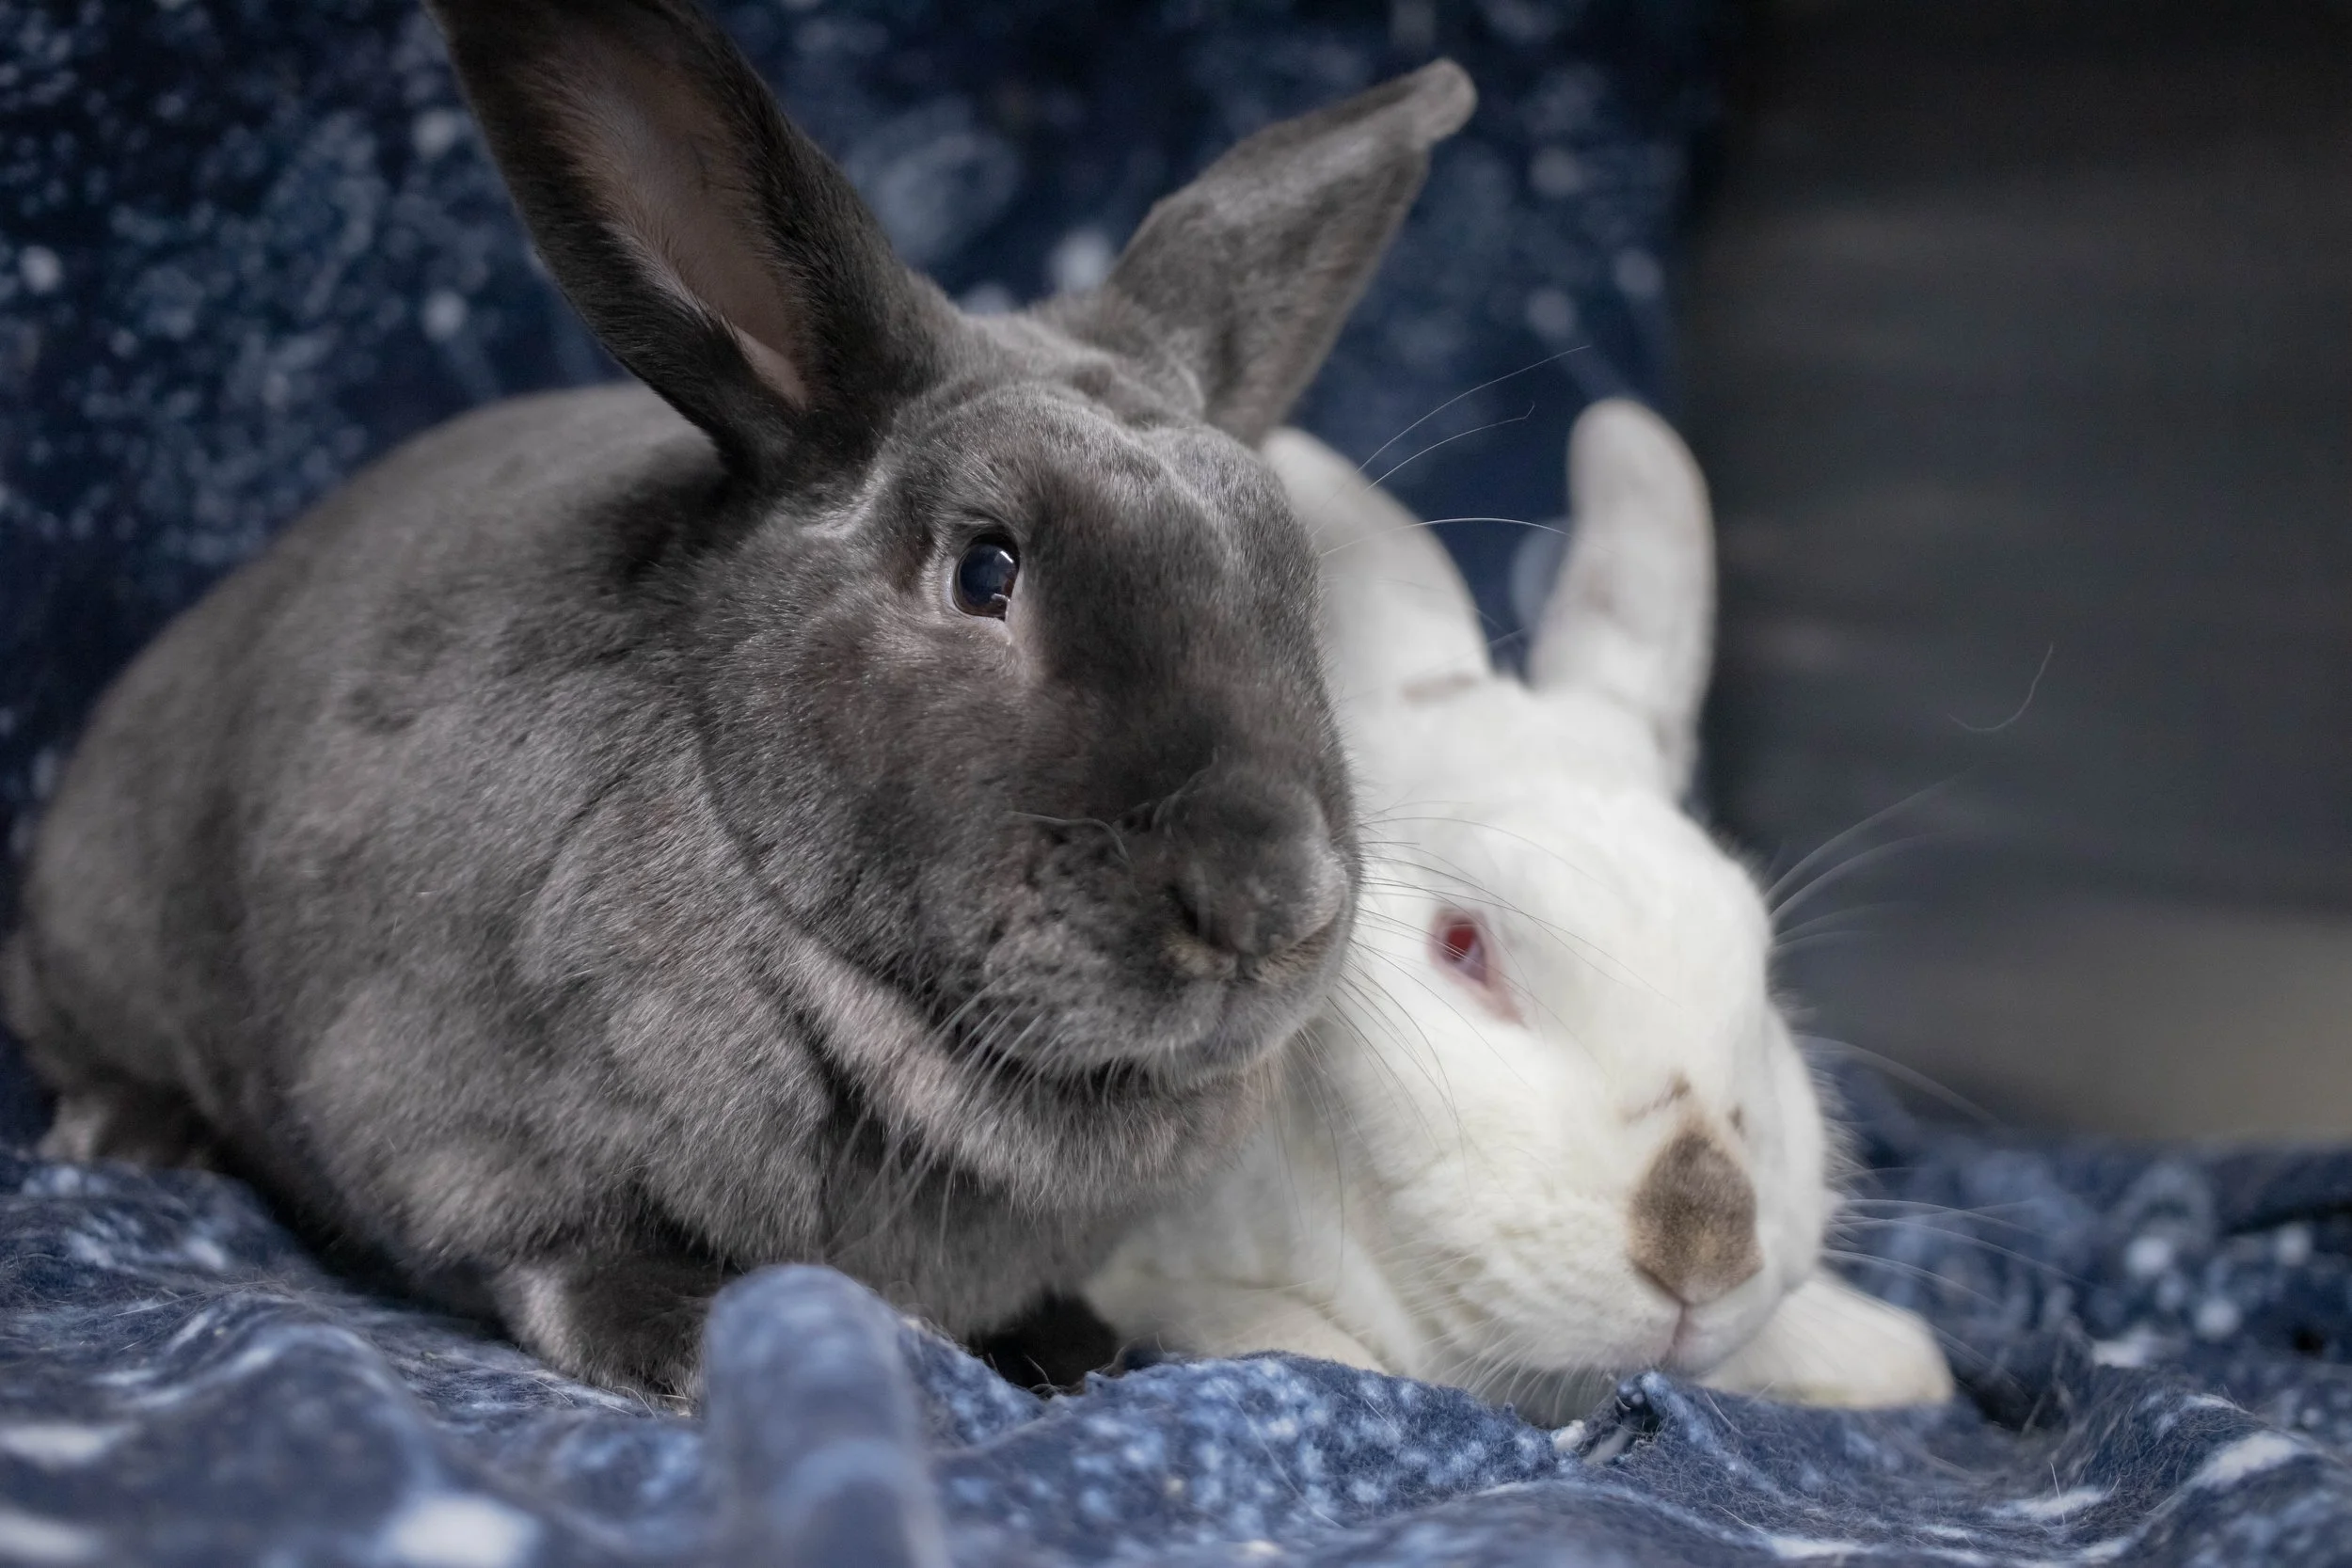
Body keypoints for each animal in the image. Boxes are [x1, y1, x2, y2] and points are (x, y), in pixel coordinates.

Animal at [0, 0, 1482, 1398]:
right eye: (985, 570)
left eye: (1290, 574)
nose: (1272, 901)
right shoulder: (457, 1132)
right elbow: (552, 1251)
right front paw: (693, 1339)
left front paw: (1085, 1345)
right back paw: (131, 1132)